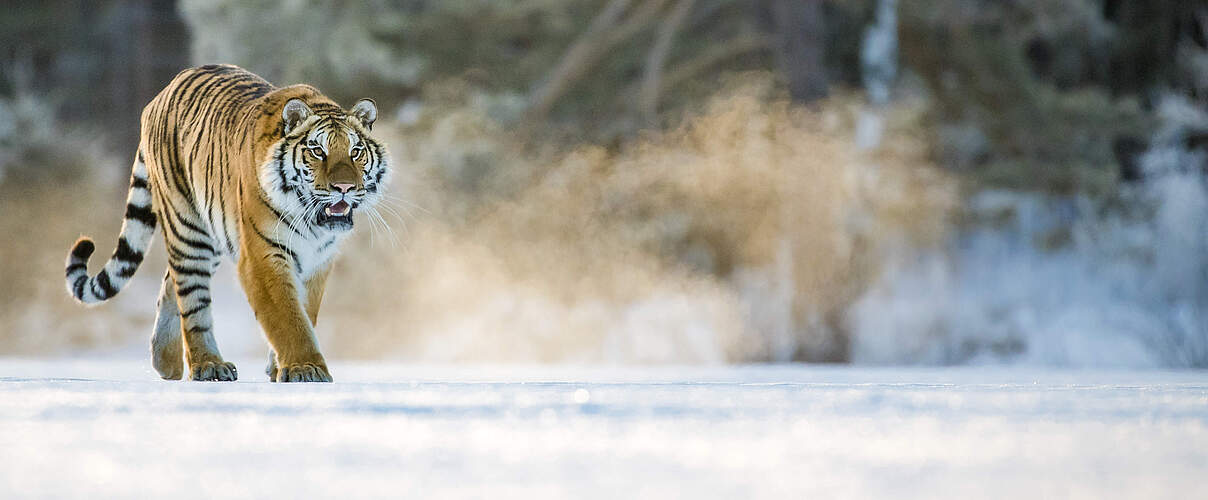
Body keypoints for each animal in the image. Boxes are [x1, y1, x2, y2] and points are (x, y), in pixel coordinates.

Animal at [63, 64, 390, 382]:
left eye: (355, 152)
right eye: (317, 151)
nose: (344, 187)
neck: (313, 224)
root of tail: (160, 95)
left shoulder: (318, 260)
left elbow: (306, 312)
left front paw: (280, 368)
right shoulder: (262, 256)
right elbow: (289, 318)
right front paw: (306, 367)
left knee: (170, 282)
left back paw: (165, 362)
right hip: (189, 230)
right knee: (191, 302)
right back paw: (208, 365)